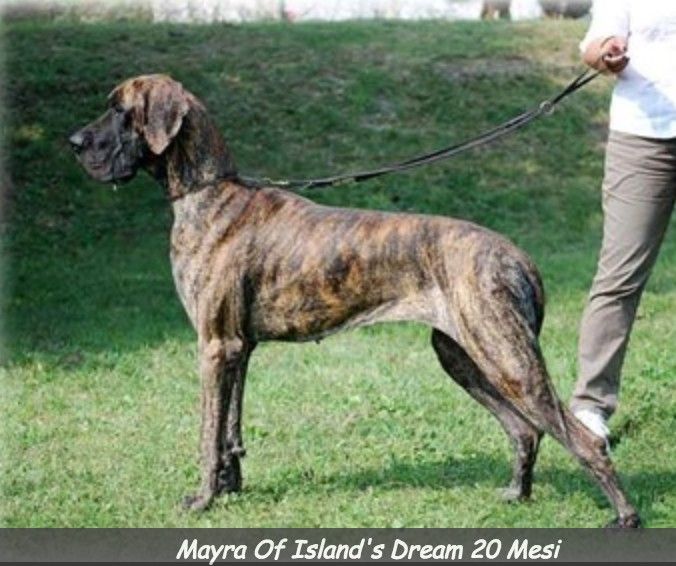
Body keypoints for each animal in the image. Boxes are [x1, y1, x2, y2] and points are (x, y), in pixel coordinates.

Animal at [69, 74, 640, 527]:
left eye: (120, 111)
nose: (74, 142)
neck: (208, 190)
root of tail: (519, 256)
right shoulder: (238, 349)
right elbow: (230, 427)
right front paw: (231, 487)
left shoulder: (214, 347)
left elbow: (208, 435)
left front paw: (204, 498)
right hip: (462, 354)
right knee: (524, 428)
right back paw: (517, 494)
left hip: (508, 358)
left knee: (581, 439)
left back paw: (625, 516)